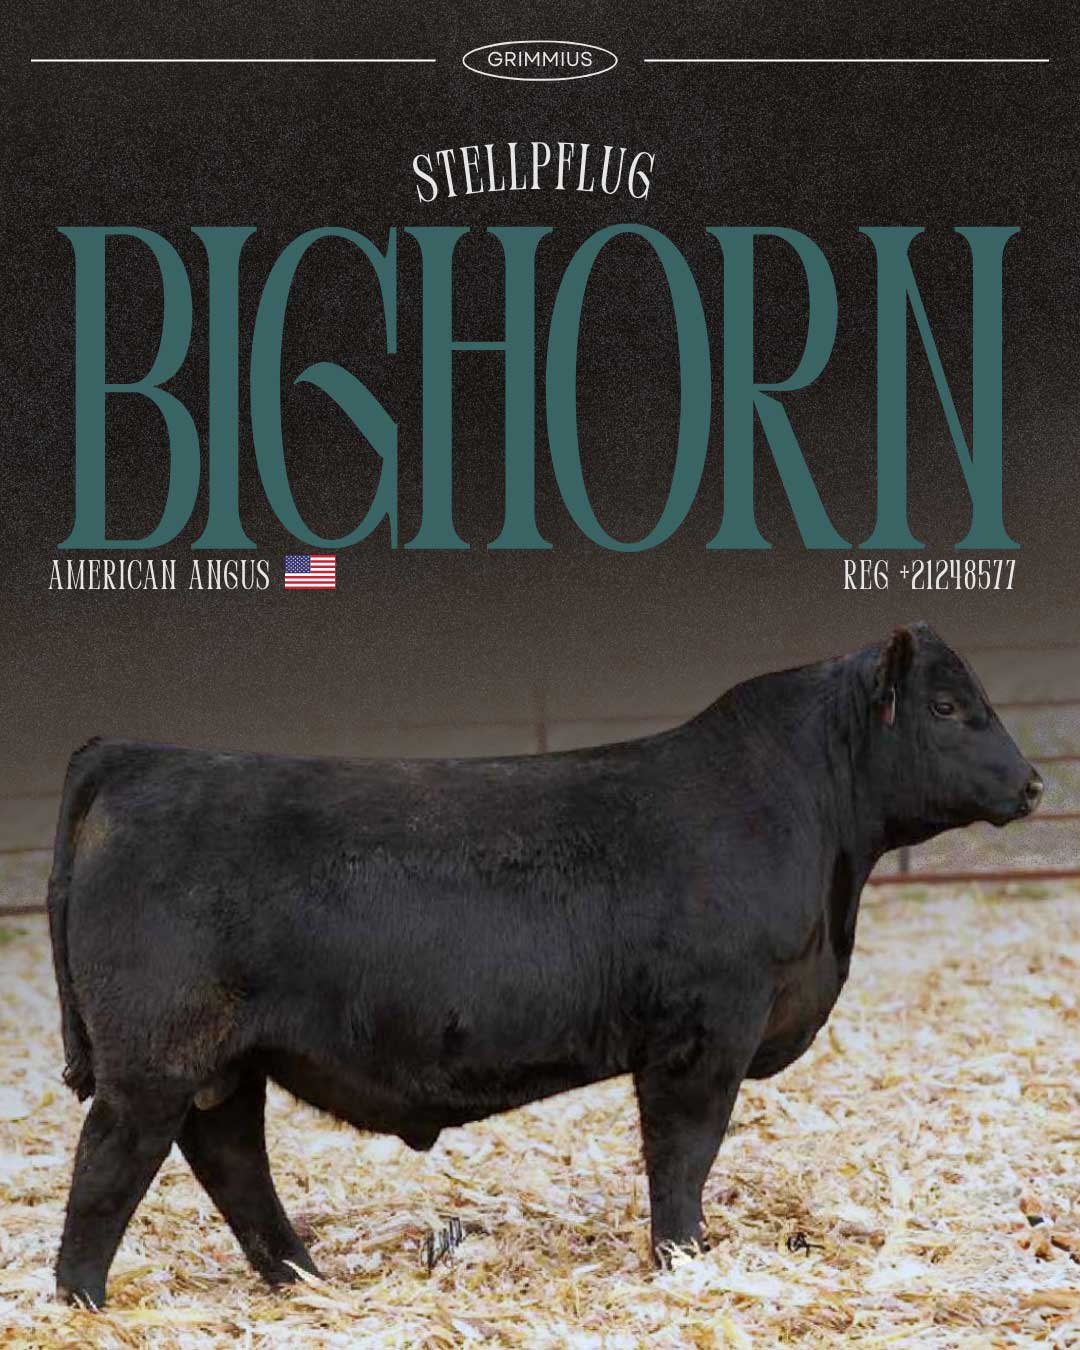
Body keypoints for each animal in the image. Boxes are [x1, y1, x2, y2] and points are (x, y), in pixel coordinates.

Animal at [47, 623, 1042, 1306]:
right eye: (946, 707)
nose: (1033, 784)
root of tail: (133, 757)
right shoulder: (705, 1032)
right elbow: (683, 1155)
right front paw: (684, 1261)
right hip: (155, 1058)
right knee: (110, 1166)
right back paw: (82, 1301)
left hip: (224, 1061)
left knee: (231, 1160)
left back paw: (304, 1279)